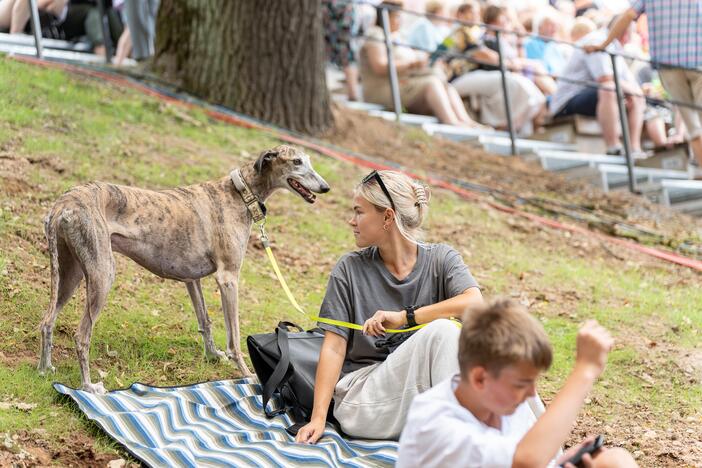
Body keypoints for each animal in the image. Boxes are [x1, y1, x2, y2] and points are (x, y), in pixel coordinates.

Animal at [38, 144, 332, 394]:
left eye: (309, 160)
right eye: (296, 161)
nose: (326, 187)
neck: (240, 193)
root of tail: (63, 204)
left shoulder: (192, 279)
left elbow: (205, 321)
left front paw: (213, 356)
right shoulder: (228, 278)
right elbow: (235, 338)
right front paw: (246, 373)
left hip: (70, 273)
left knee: (47, 321)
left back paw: (45, 369)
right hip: (102, 275)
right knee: (81, 335)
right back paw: (88, 386)